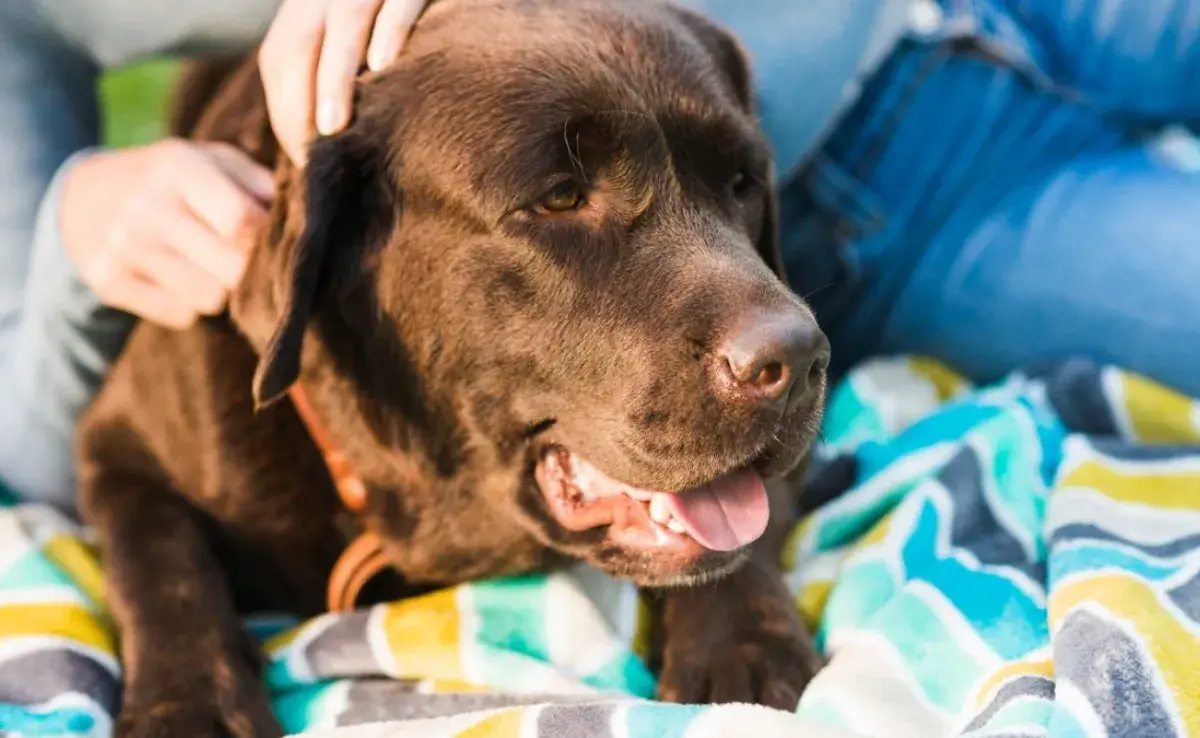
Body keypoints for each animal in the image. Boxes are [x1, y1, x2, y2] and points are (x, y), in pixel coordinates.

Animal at [75, 2, 825, 734]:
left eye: (742, 182)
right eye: (560, 198)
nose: (796, 357)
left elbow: (750, 536)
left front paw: (743, 648)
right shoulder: (117, 444)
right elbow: (161, 563)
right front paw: (191, 706)